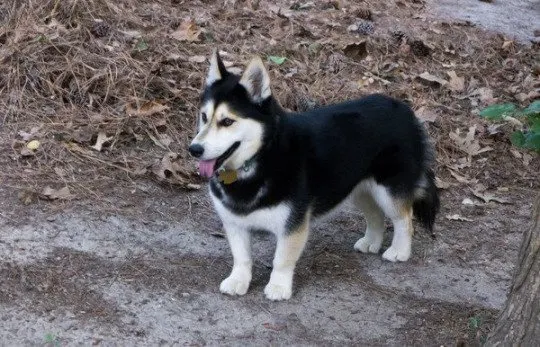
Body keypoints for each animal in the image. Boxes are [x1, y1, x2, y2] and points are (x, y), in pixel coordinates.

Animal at [189, 51, 438, 302]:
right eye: (204, 116)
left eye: (227, 121)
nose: (194, 149)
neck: (262, 155)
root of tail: (405, 109)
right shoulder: (234, 222)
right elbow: (241, 257)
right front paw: (238, 280)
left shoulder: (293, 224)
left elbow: (282, 259)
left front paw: (279, 286)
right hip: (358, 187)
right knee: (375, 214)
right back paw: (371, 242)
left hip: (388, 189)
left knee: (404, 218)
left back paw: (399, 251)